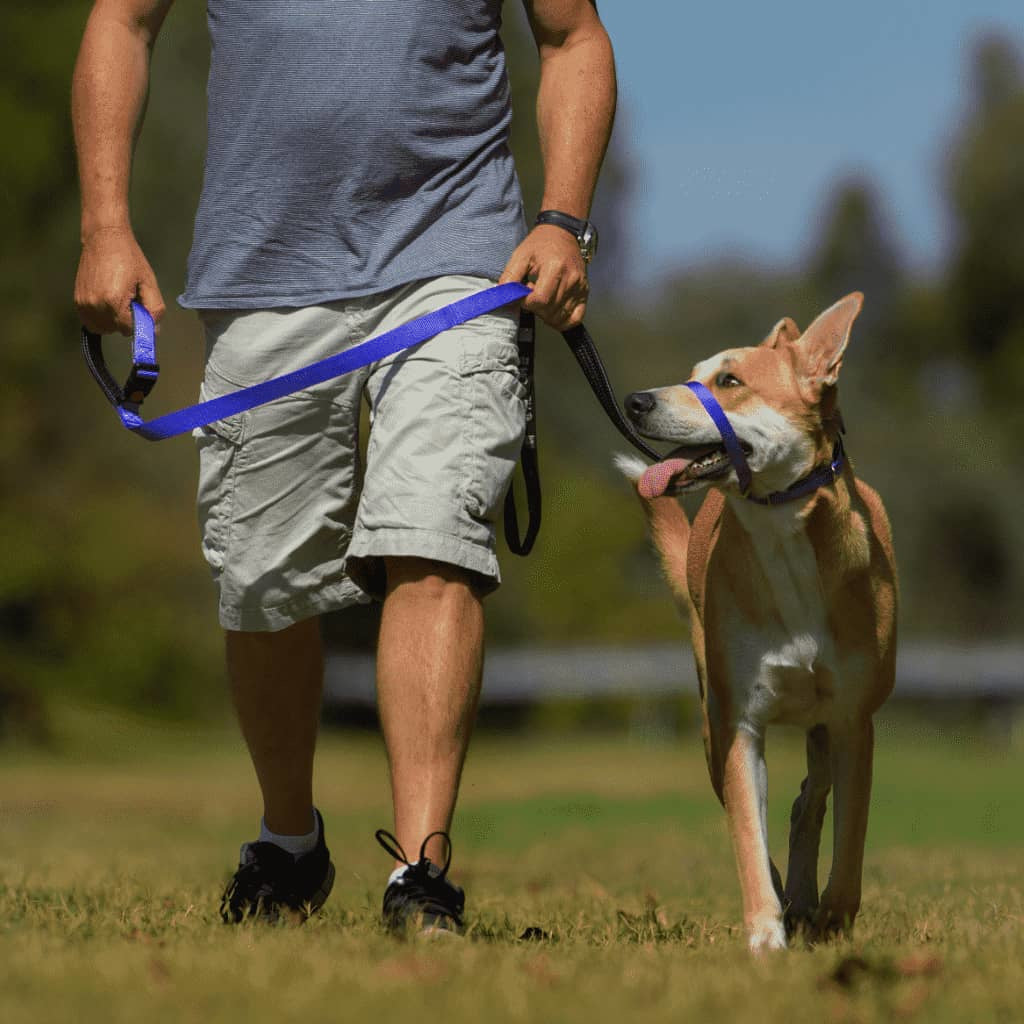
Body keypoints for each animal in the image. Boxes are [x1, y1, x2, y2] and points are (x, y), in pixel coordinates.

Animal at [614, 294, 897, 950]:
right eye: (695, 372)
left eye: (730, 381)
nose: (635, 401)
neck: (784, 533)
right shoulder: (738, 718)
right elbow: (747, 825)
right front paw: (767, 934)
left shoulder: (854, 720)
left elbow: (851, 835)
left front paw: (835, 920)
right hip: (709, 713)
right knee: (747, 805)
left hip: (822, 725)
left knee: (810, 798)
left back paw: (806, 896)